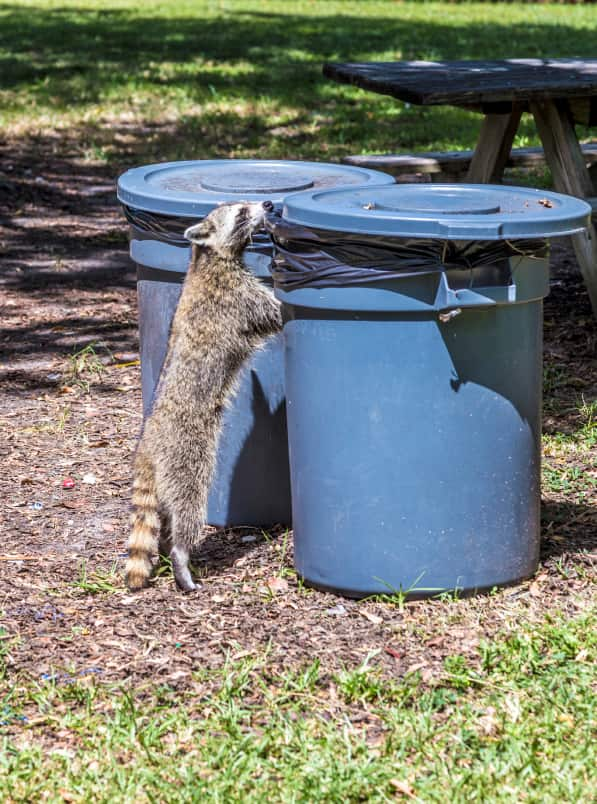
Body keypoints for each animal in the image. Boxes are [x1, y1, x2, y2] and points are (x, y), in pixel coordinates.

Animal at [124, 201, 282, 592]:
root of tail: (146, 447)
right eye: (242, 212)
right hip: (184, 453)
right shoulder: (238, 297)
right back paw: (181, 552)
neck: (207, 257)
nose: (269, 204)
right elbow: (275, 313)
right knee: (186, 502)